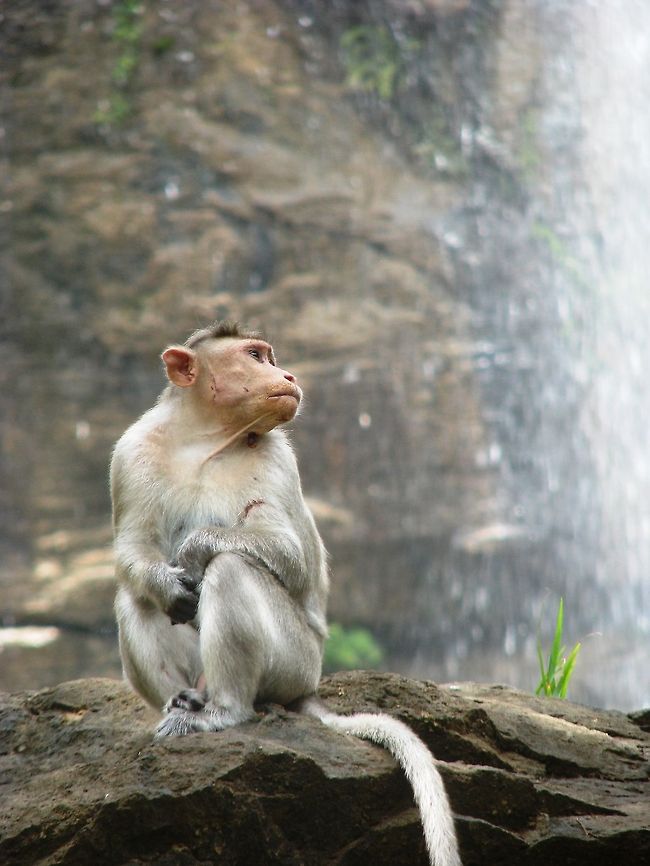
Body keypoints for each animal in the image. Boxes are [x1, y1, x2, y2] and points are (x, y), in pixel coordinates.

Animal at [111, 321, 461, 866]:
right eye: (256, 356)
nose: (287, 374)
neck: (202, 441)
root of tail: (308, 684)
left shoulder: (275, 455)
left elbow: (288, 553)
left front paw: (196, 547)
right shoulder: (130, 453)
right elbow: (133, 550)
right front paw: (170, 580)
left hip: (294, 661)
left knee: (233, 569)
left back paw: (225, 711)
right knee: (137, 599)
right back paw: (184, 700)